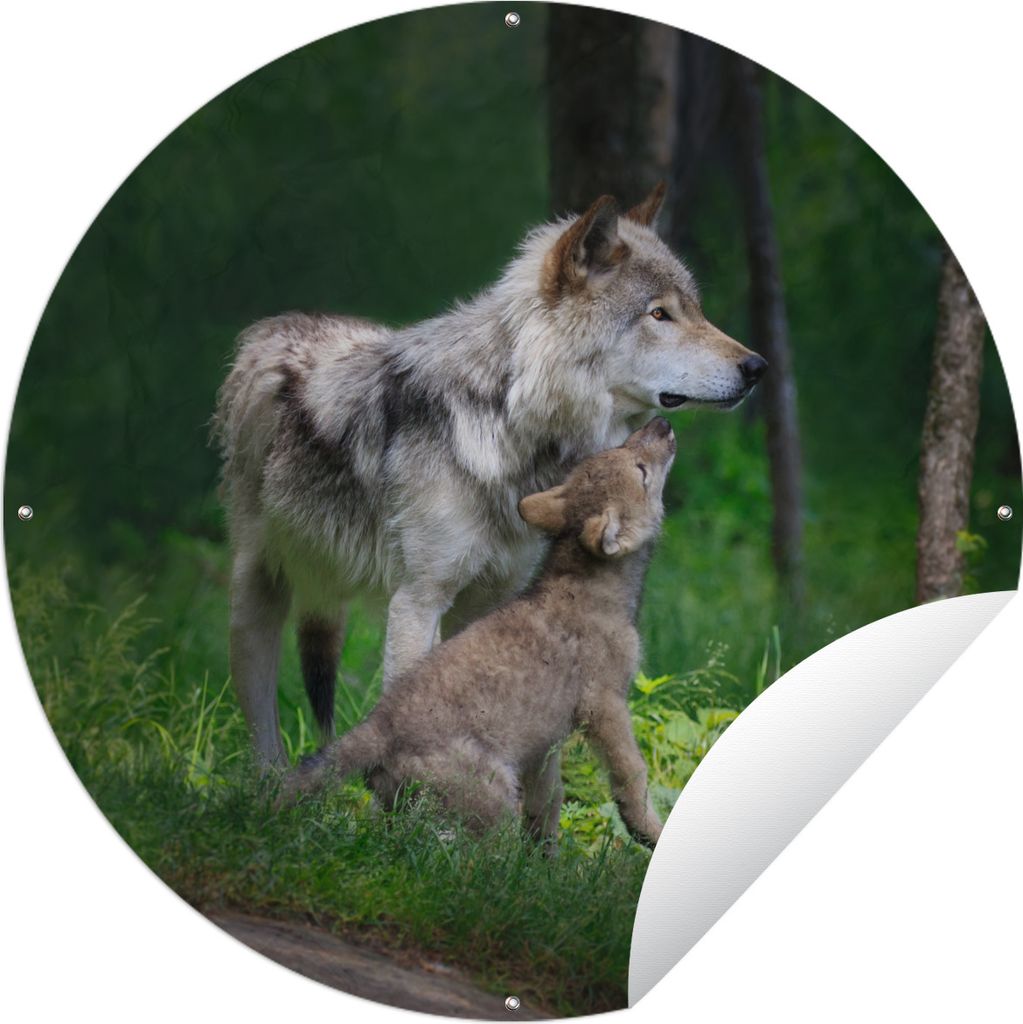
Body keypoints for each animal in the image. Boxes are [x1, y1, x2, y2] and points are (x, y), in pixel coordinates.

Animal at [213, 183, 765, 768]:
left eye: (695, 310)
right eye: (658, 314)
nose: (757, 367)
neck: (509, 422)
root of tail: (276, 327)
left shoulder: (493, 600)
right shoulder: (417, 601)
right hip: (255, 601)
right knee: (263, 729)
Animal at [283, 418, 678, 849]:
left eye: (620, 449)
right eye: (640, 471)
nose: (662, 424)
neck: (590, 585)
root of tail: (378, 725)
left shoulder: (544, 743)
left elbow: (548, 801)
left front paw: (545, 858)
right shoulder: (604, 705)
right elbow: (632, 777)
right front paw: (651, 834)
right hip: (495, 796)